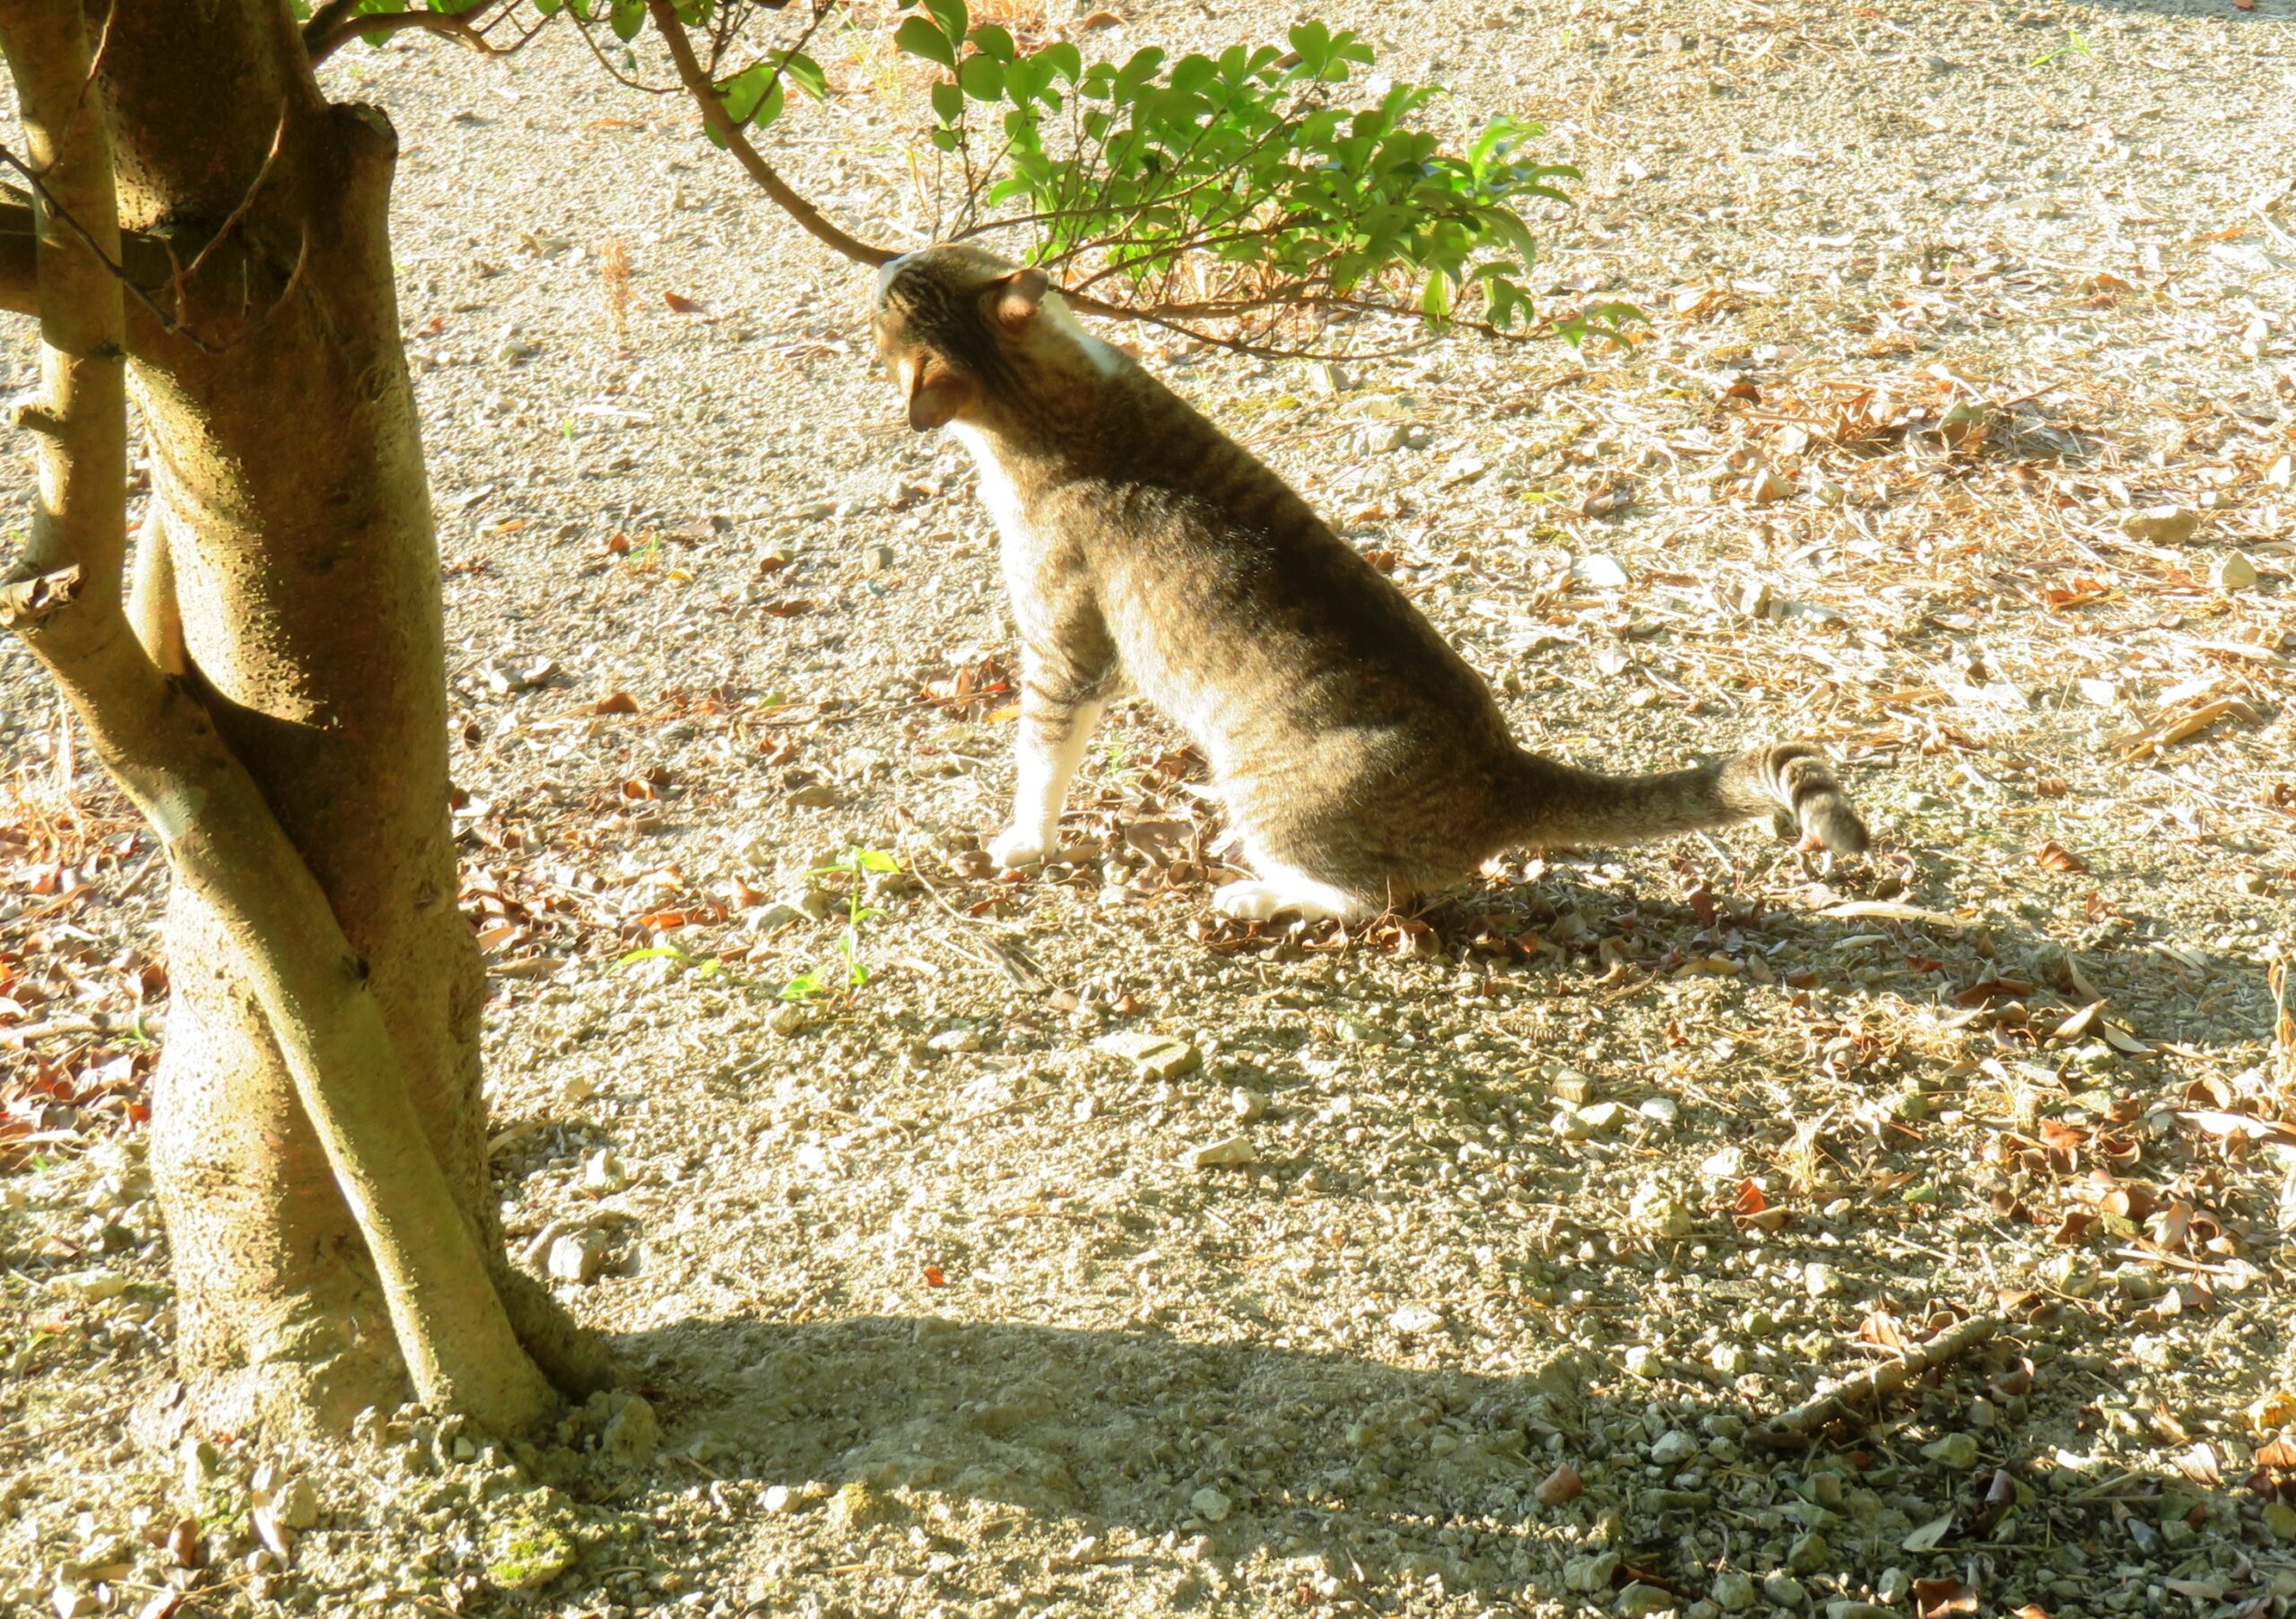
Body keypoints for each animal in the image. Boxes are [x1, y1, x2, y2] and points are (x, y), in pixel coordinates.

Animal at [863, 244, 1864, 913]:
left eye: (889, 305)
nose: (880, 261)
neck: (1061, 409)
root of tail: (1504, 776)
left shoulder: (1063, 646)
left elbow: (1041, 753)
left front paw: (1024, 840)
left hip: (1265, 786)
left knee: (1365, 898)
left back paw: (1260, 893)